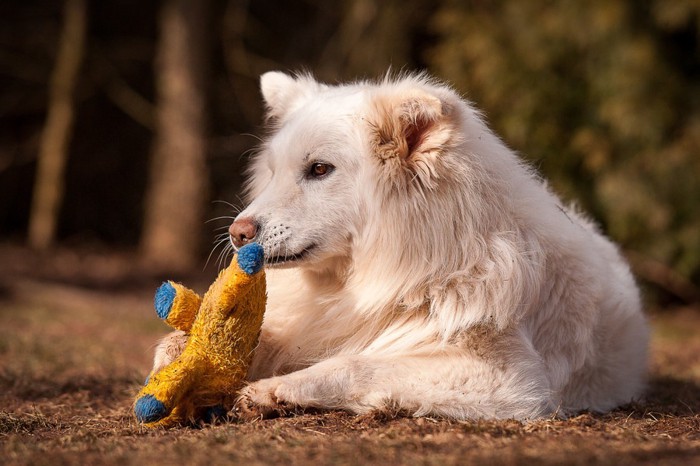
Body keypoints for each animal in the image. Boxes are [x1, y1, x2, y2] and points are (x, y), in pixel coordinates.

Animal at [154, 71, 652, 420]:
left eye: (319, 169)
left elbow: (358, 364)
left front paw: (272, 391)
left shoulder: (510, 380)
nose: (237, 233)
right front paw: (179, 355)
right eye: (274, 173)